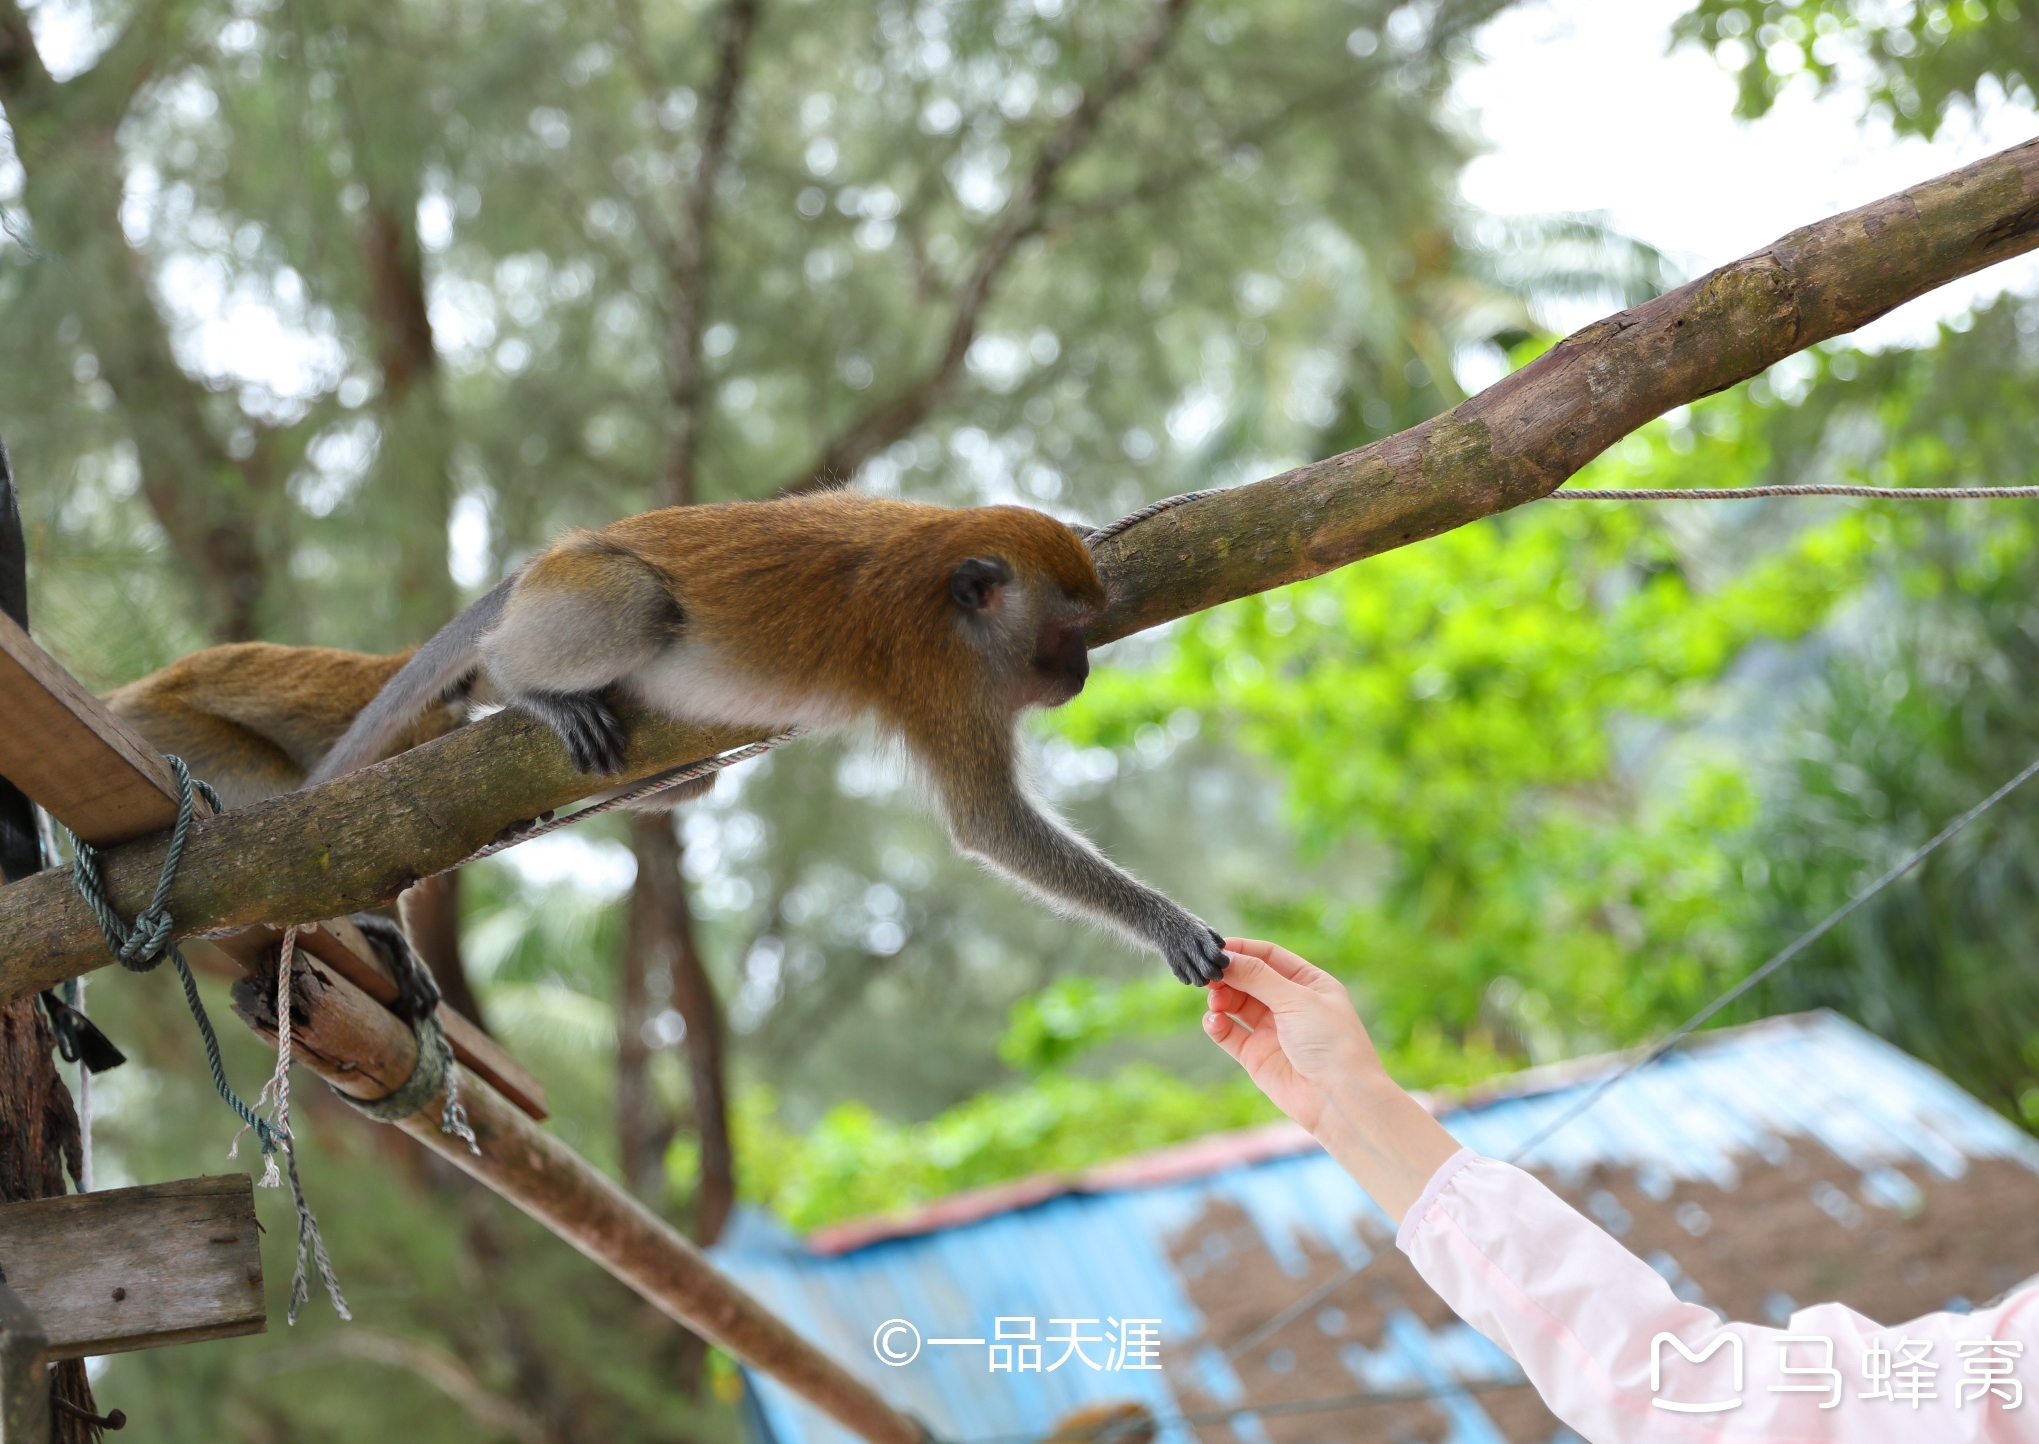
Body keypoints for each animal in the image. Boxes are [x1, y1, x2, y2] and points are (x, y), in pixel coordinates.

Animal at [301, 493, 1223, 983]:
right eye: (1064, 633)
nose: (1080, 674)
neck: (935, 570)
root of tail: (553, 559)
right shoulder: (941, 684)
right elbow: (989, 825)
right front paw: (1164, 923)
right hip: (582, 588)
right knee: (632, 606)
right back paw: (514, 681)